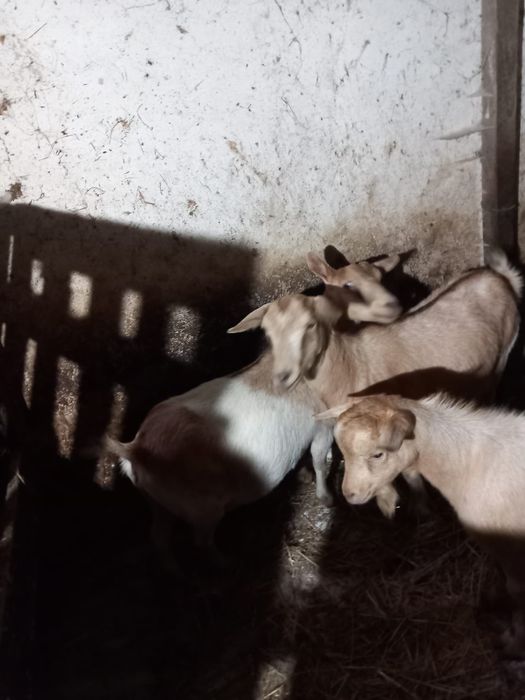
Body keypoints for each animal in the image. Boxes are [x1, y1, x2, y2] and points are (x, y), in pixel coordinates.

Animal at [229, 250, 522, 516]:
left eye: (310, 325)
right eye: (266, 333)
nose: (282, 376)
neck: (350, 363)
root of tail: (499, 275)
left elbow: (410, 469)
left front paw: (417, 507)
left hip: (505, 351)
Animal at [317, 393, 525, 657]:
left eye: (378, 455)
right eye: (342, 452)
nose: (350, 495)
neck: (469, 463)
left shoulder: (512, 548)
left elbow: (517, 593)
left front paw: (514, 642)